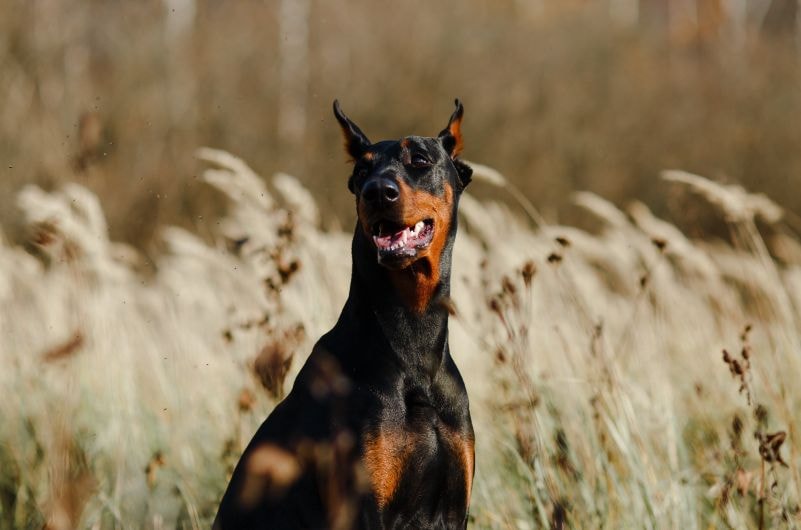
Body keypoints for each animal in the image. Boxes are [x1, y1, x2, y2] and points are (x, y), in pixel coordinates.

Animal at [214, 99, 476, 528]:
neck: (415, 345)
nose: (378, 192)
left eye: (420, 159)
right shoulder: (362, 505)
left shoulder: (454, 510)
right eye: (362, 172)